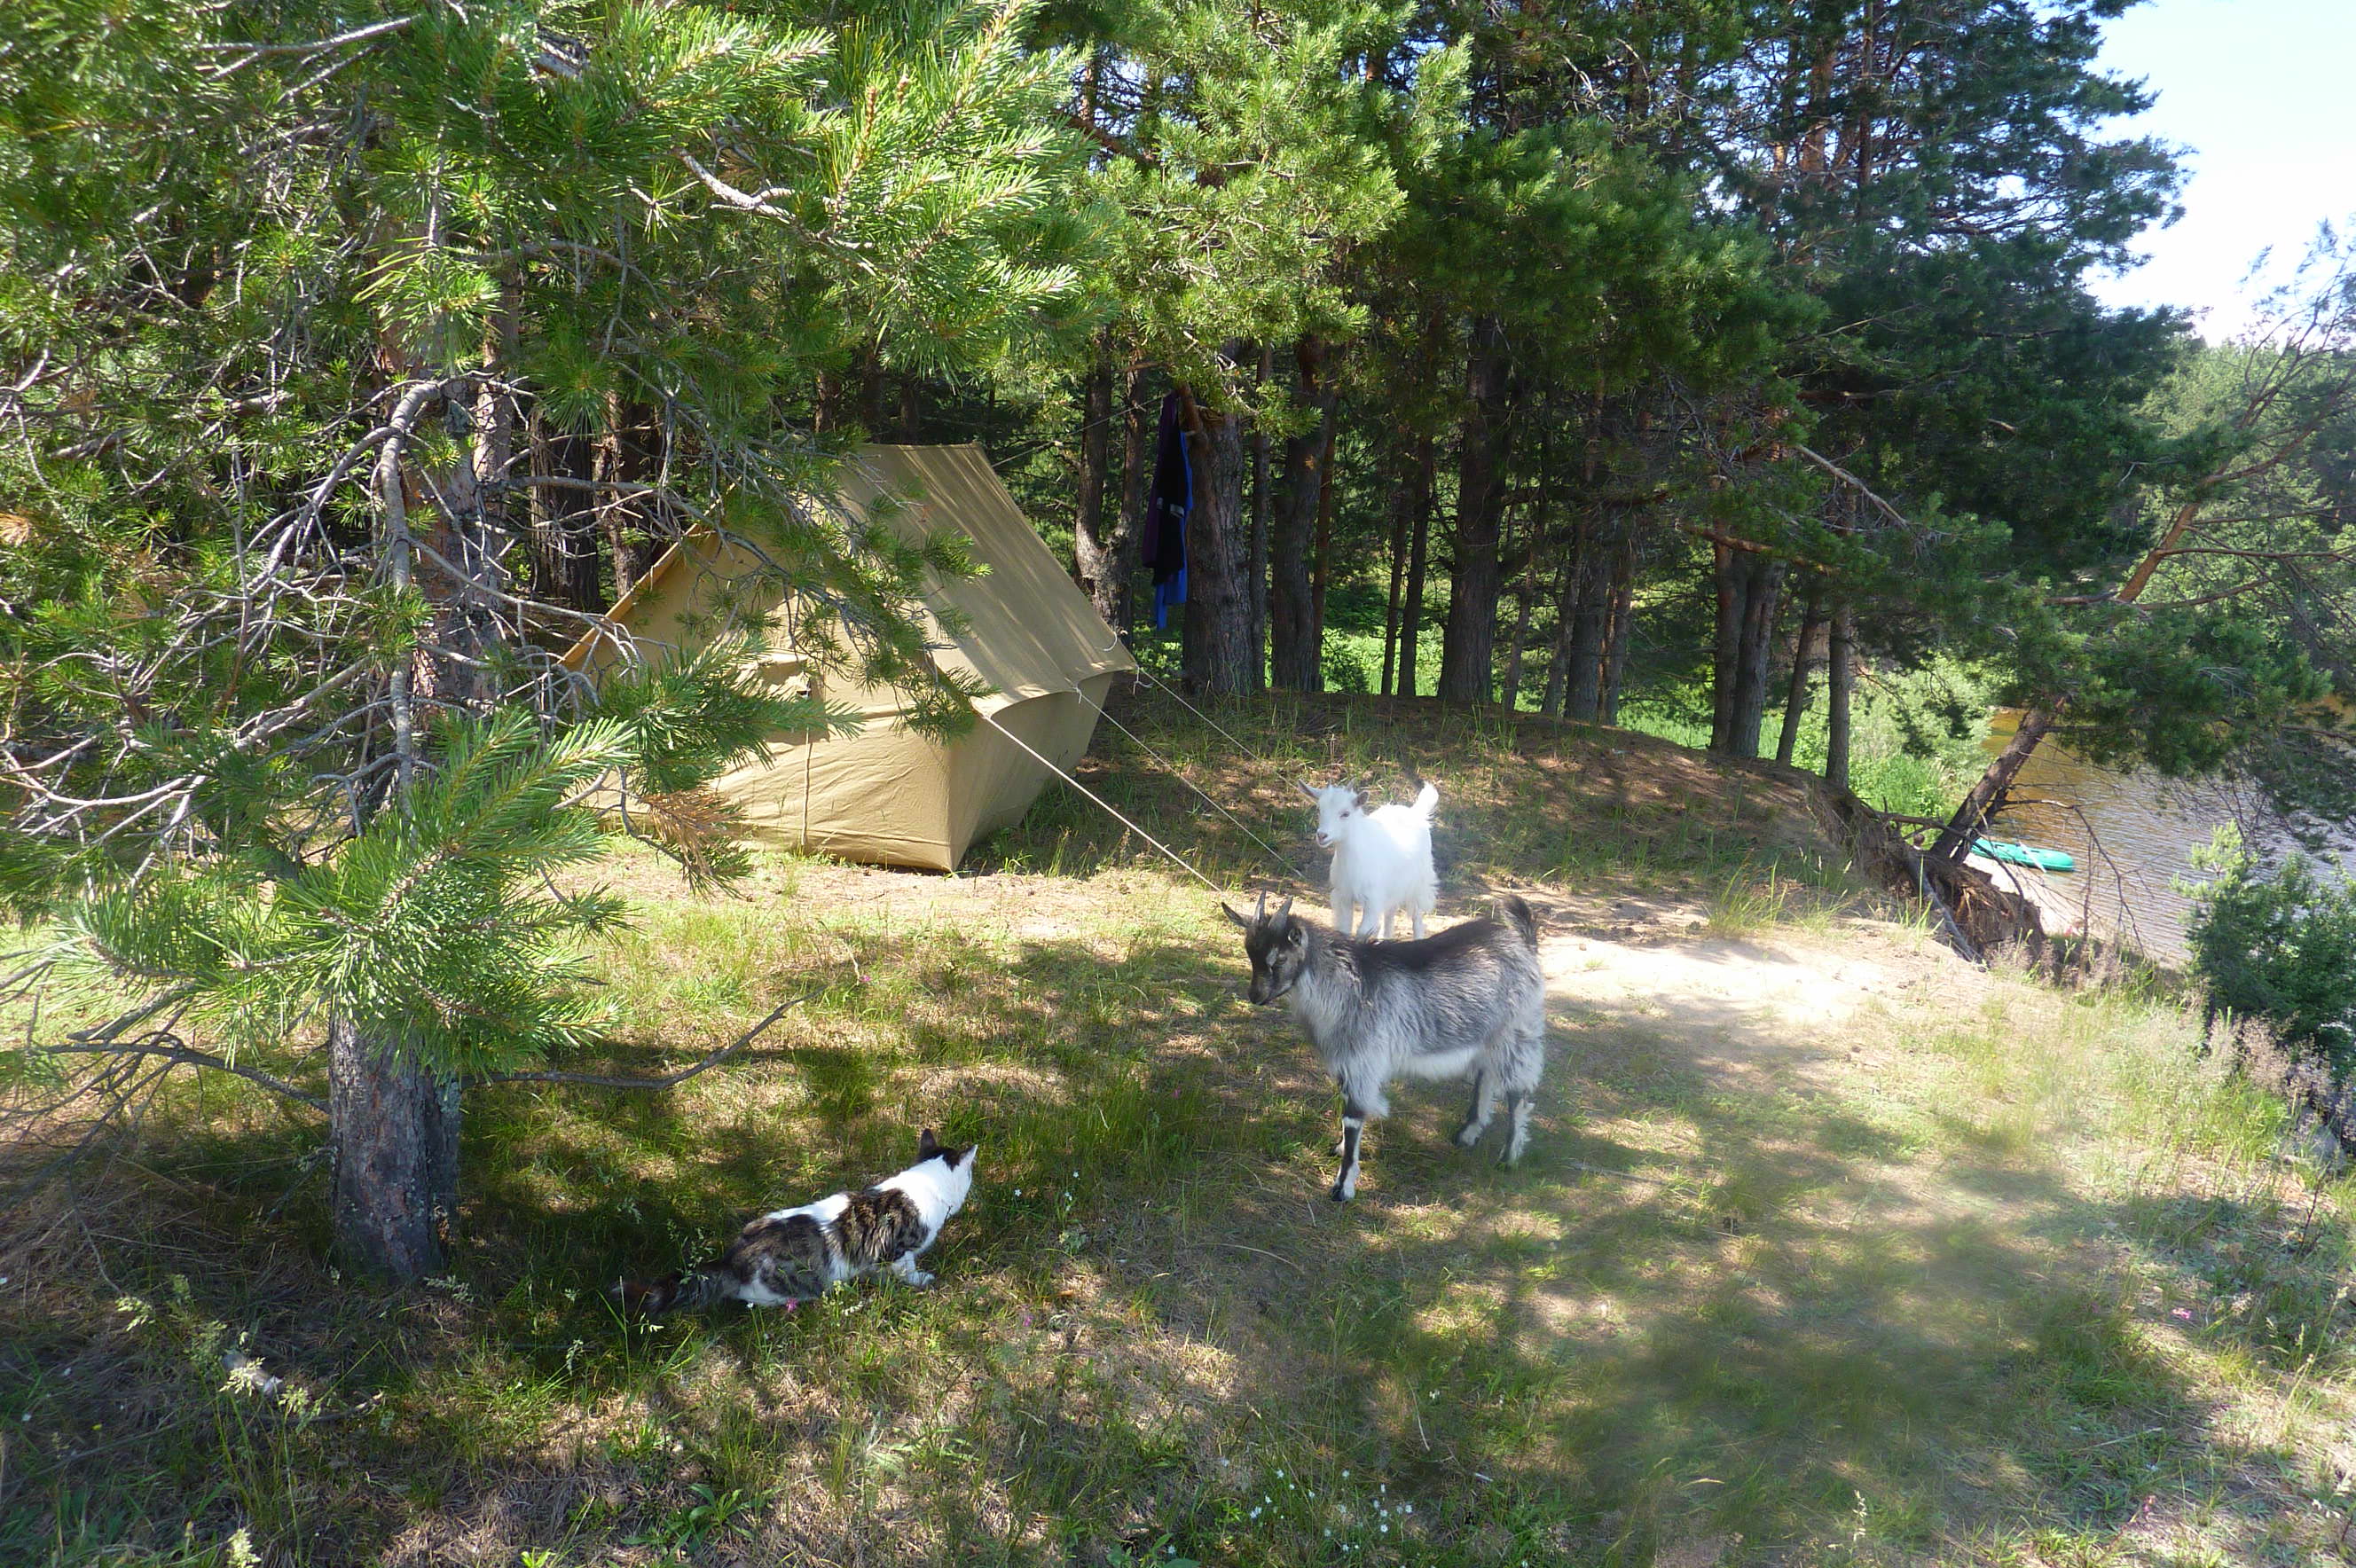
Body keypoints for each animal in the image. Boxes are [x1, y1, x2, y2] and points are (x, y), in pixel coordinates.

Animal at [1223, 891, 1546, 1201]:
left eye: (1278, 961)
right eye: (1250, 955)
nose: (1255, 996)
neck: (1347, 984)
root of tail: (1524, 943)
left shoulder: (1363, 1060)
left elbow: (1353, 1116)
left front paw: (1343, 1186)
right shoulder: (1348, 1064)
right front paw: (1340, 1149)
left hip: (1517, 1031)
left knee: (1518, 1095)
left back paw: (1508, 1158)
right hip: (1489, 1035)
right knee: (1485, 1076)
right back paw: (1467, 1135)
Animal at [1301, 778, 1439, 940]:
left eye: (1346, 813)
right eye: (1319, 810)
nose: (1322, 835)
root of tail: (1415, 813)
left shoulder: (1373, 899)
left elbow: (1363, 932)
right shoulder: (1344, 896)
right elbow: (1344, 930)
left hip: (1418, 885)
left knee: (1417, 918)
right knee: (1390, 914)